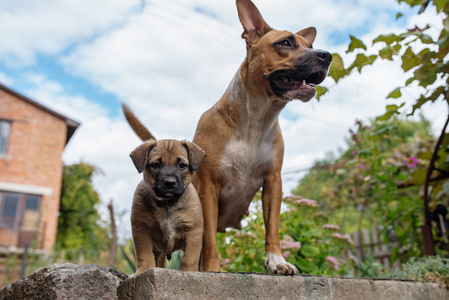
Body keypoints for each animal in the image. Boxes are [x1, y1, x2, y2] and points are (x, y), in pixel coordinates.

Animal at [130, 139, 206, 274]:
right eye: (156, 165)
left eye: (182, 165)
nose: (170, 183)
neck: (167, 204)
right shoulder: (141, 229)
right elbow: (144, 254)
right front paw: (144, 269)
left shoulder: (193, 231)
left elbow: (189, 258)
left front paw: (189, 271)